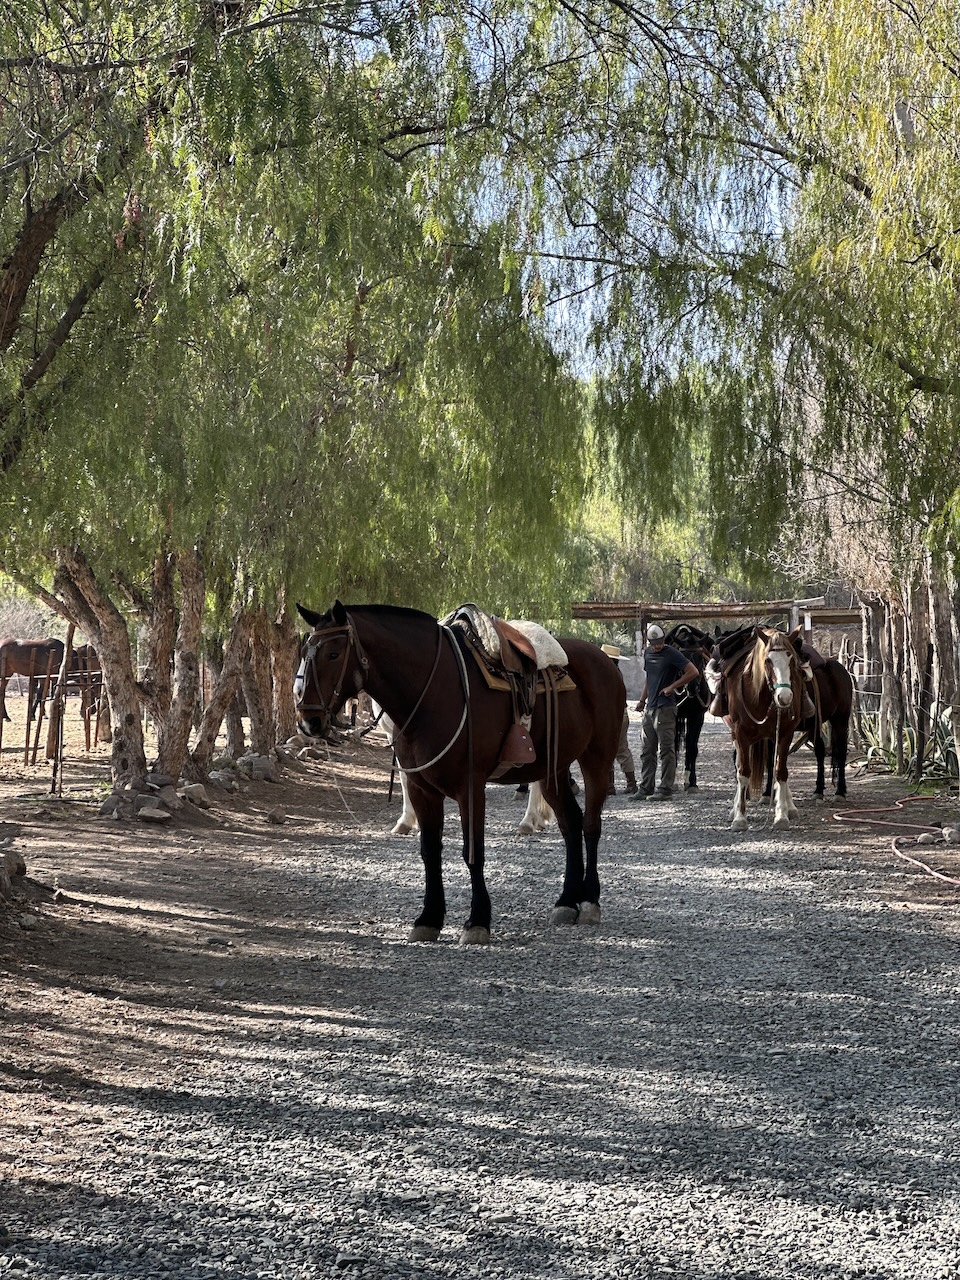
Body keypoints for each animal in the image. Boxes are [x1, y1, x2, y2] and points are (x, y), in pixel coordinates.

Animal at [295, 601, 625, 943]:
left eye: (333, 654)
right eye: (304, 651)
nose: (309, 720)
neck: (432, 693)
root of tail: (604, 661)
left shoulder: (470, 787)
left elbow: (473, 851)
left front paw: (477, 921)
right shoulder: (421, 788)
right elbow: (430, 850)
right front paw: (428, 918)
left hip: (597, 759)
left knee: (590, 825)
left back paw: (589, 901)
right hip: (553, 769)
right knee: (570, 824)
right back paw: (566, 902)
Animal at [664, 623, 713, 791]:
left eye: (700, 657)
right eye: (683, 657)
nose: (692, 686)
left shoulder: (697, 716)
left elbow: (692, 748)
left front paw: (692, 782)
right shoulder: (675, 715)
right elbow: (673, 745)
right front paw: (671, 781)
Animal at [724, 626, 804, 830]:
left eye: (791, 659)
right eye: (768, 660)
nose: (784, 697)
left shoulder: (785, 733)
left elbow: (780, 771)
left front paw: (781, 816)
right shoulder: (740, 734)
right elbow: (743, 772)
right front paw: (739, 817)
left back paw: (790, 807)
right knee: (739, 766)